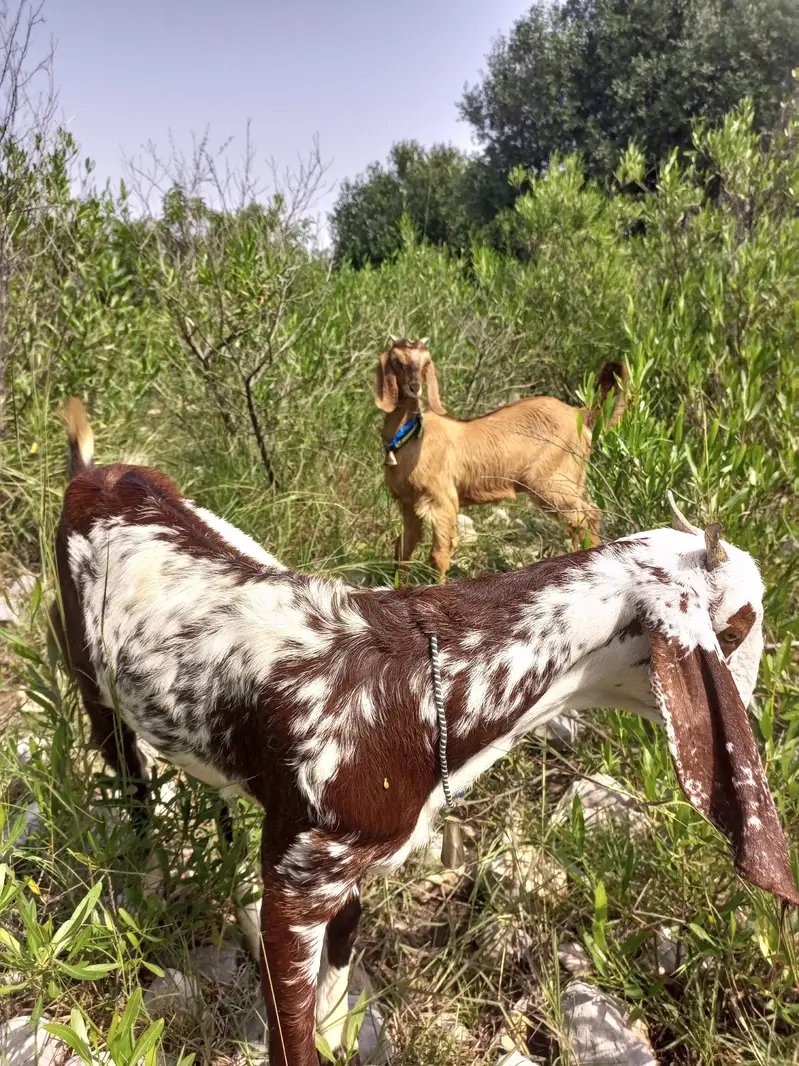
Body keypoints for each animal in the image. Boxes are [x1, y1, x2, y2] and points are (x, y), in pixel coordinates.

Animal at [53, 398, 798, 1066]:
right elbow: (291, 1029)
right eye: (740, 625)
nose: (755, 704)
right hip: (92, 684)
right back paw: (149, 884)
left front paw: (337, 1027)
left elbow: (343, 946)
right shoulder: (300, 878)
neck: (432, 679)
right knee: (132, 785)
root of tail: (98, 473)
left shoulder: (348, 859)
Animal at [375, 338, 627, 581]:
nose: (414, 387)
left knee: (587, 517)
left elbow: (439, 556)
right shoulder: (408, 503)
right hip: (573, 481)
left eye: (426, 362)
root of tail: (581, 414)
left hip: (554, 483)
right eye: (396, 361)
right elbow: (403, 549)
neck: (410, 438)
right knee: (586, 519)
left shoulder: (443, 499)